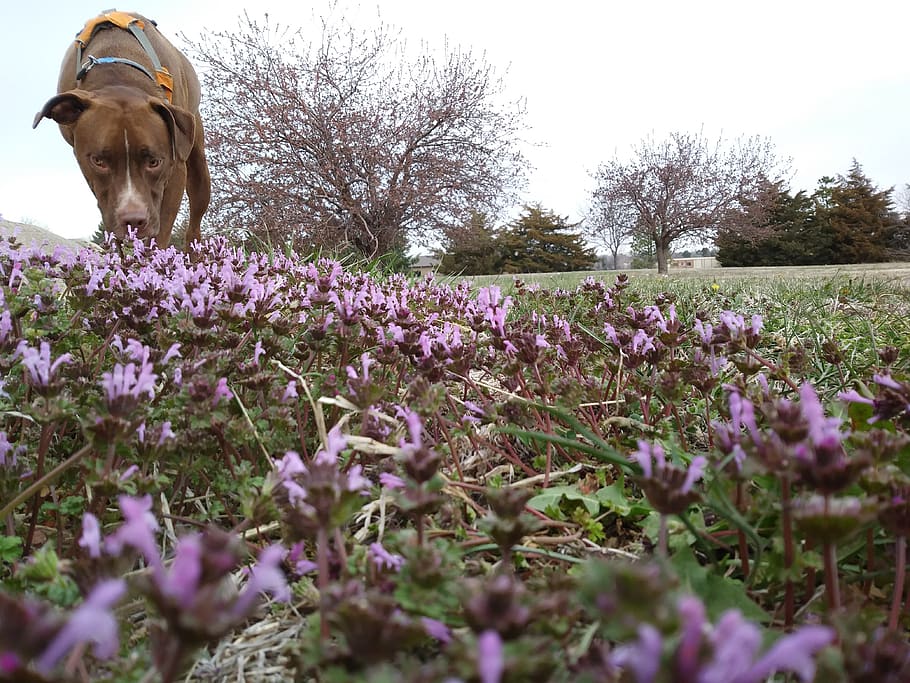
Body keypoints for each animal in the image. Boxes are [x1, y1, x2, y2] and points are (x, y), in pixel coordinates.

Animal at [33, 11, 210, 248]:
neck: (117, 73)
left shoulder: (175, 172)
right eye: (98, 161)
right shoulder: (98, 185)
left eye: (154, 161)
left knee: (195, 222)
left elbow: (161, 231)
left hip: (197, 158)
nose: (134, 220)